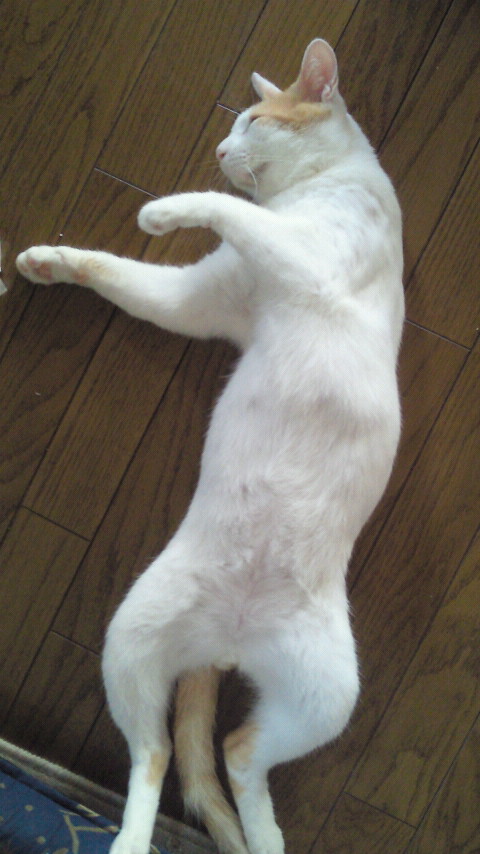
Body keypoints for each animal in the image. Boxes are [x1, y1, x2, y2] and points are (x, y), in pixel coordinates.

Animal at [16, 38, 404, 854]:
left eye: (251, 120)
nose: (222, 148)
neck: (317, 186)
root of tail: (227, 645)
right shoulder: (204, 300)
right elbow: (118, 271)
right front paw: (48, 261)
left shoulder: (309, 258)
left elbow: (229, 209)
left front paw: (164, 209)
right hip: (133, 637)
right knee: (169, 752)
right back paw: (154, 838)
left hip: (329, 695)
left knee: (229, 750)